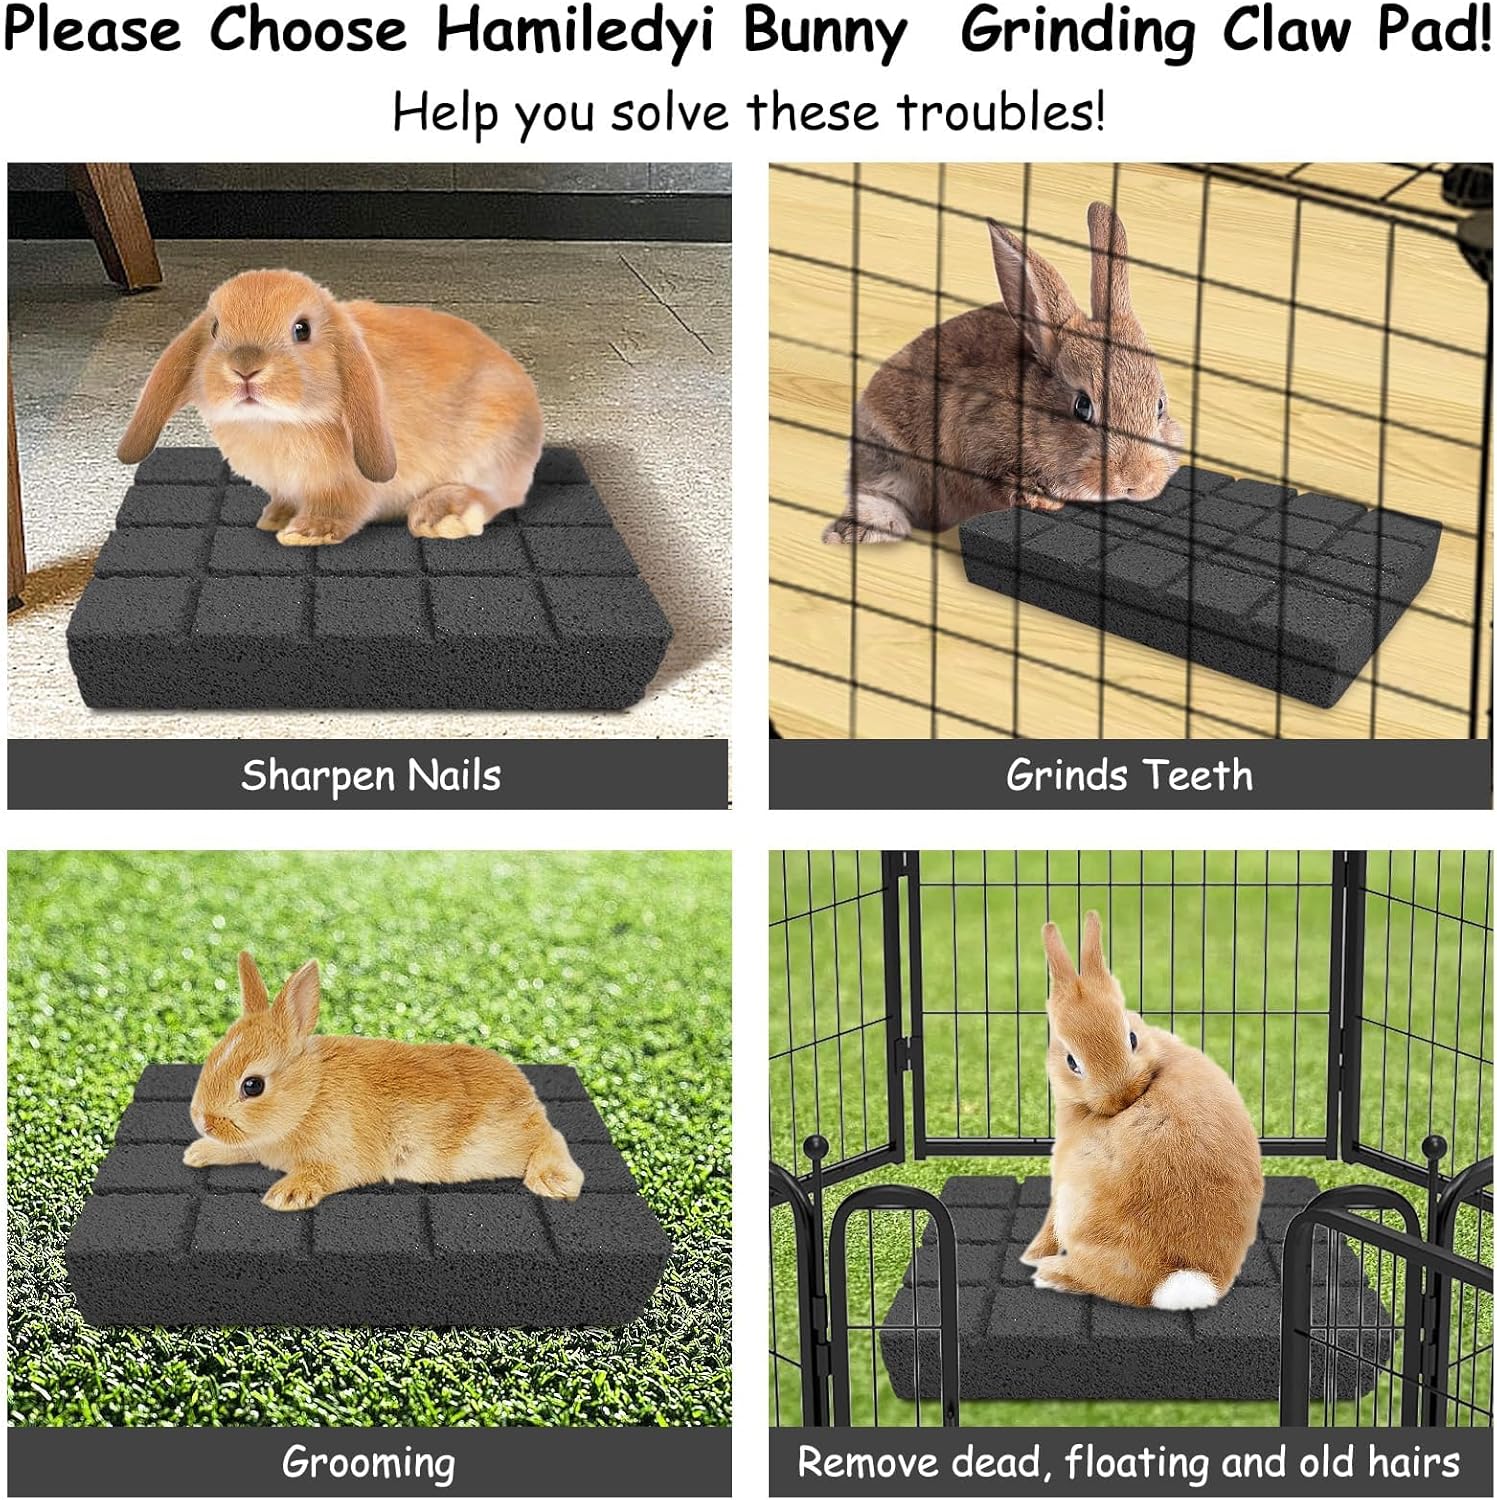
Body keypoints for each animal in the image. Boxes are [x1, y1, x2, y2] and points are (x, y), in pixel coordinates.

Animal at [118, 269, 543, 546]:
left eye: (302, 329)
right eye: (215, 328)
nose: (244, 368)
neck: (274, 423)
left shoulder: (346, 485)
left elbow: (340, 508)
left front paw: (304, 533)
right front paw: (274, 519)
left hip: (492, 444)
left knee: (497, 495)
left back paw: (442, 516)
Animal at [183, 952, 584, 1211]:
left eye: (252, 1086)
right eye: (213, 1055)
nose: (203, 1121)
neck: (310, 1095)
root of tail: (528, 1096)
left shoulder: (343, 1157)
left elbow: (324, 1173)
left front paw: (286, 1195)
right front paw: (199, 1152)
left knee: (551, 1137)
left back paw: (554, 1181)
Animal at [1021, 912, 1263, 1310]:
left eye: (1131, 1038)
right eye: (1072, 1061)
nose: (1121, 1096)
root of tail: (1181, 1278)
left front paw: (1030, 1255)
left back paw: (1050, 1274)